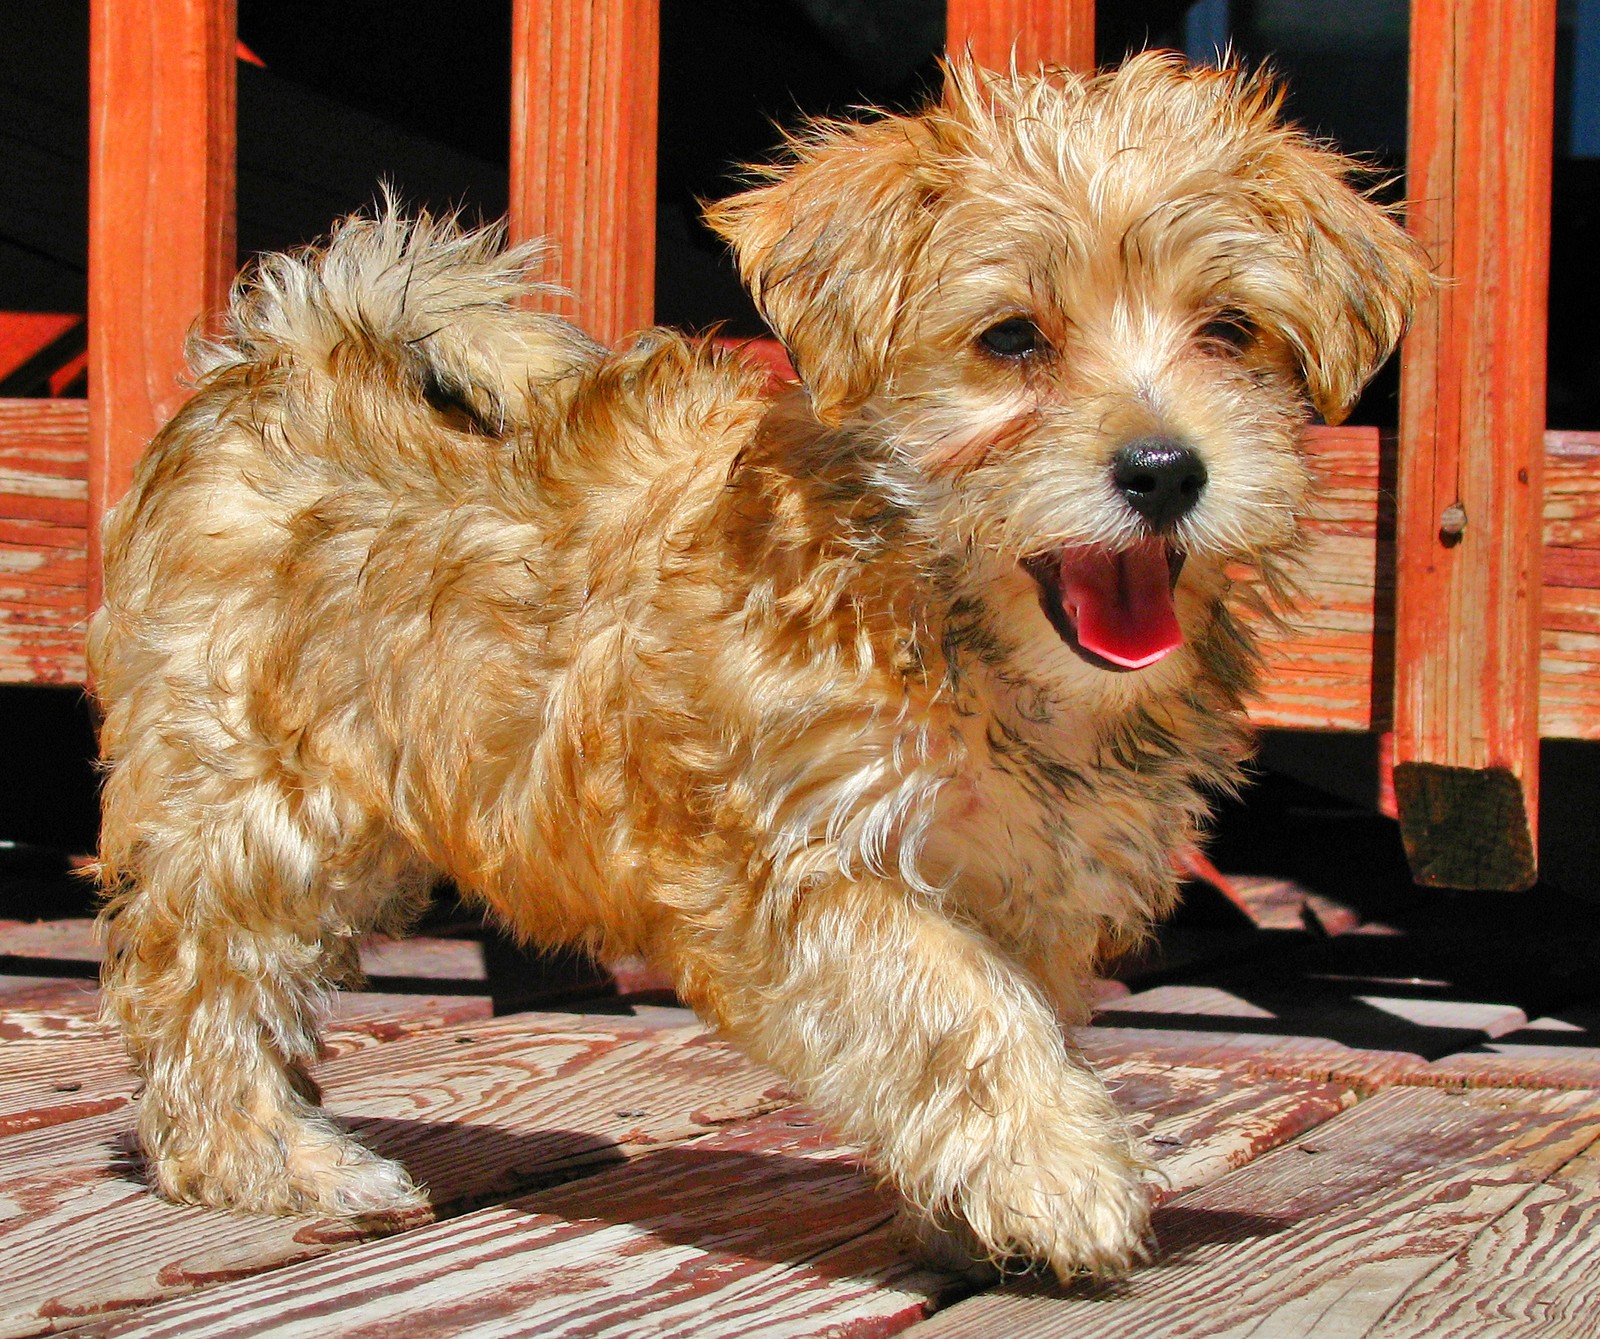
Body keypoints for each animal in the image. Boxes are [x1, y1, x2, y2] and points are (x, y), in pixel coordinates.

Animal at [87, 57, 1427, 1279]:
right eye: (1010, 340)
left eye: (1228, 331)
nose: (1163, 469)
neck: (958, 624)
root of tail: (291, 347)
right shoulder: (804, 859)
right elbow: (959, 1008)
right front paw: (1058, 1175)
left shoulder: (1030, 880)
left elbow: (1005, 1015)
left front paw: (971, 1202)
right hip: (252, 794)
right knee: (209, 977)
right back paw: (270, 1157)